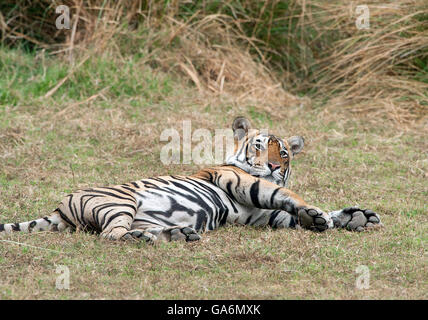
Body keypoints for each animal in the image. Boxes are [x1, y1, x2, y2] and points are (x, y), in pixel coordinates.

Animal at [0, 116, 382, 241]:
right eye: (259, 146)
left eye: (284, 153)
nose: (274, 166)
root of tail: (59, 208)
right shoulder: (243, 183)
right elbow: (284, 195)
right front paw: (320, 215)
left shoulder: (258, 215)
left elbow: (288, 209)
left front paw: (356, 217)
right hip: (118, 203)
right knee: (112, 235)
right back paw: (147, 239)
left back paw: (179, 234)